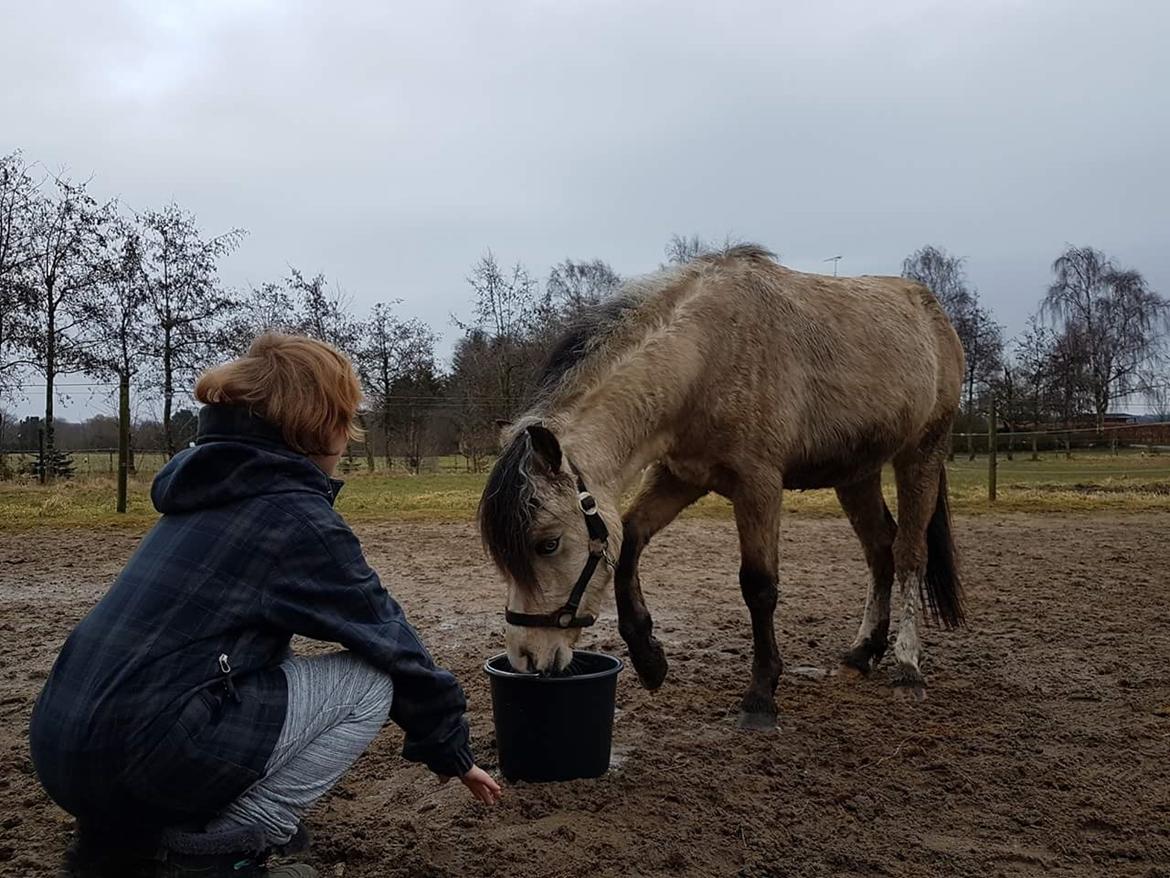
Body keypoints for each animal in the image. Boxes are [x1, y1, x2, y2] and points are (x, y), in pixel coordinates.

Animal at [478, 245, 965, 727]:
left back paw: (907, 667)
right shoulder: (681, 477)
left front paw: (761, 695)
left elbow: (759, 586)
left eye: (548, 544)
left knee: (909, 555)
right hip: (856, 474)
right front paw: (649, 659)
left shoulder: (759, 485)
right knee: (880, 550)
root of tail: (934, 312)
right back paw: (863, 652)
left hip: (922, 453)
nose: (525, 658)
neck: (705, 356)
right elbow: (630, 540)